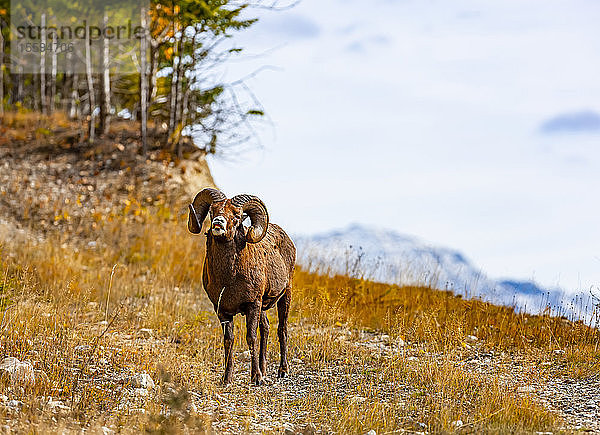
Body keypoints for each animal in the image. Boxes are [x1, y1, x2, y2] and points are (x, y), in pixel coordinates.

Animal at [188, 189, 296, 386]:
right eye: (212, 211)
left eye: (237, 216)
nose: (218, 223)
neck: (228, 278)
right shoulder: (222, 311)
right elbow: (229, 340)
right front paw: (227, 379)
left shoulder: (252, 305)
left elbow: (251, 337)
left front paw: (256, 378)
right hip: (263, 308)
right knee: (266, 328)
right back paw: (264, 370)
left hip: (285, 295)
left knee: (282, 330)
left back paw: (282, 371)